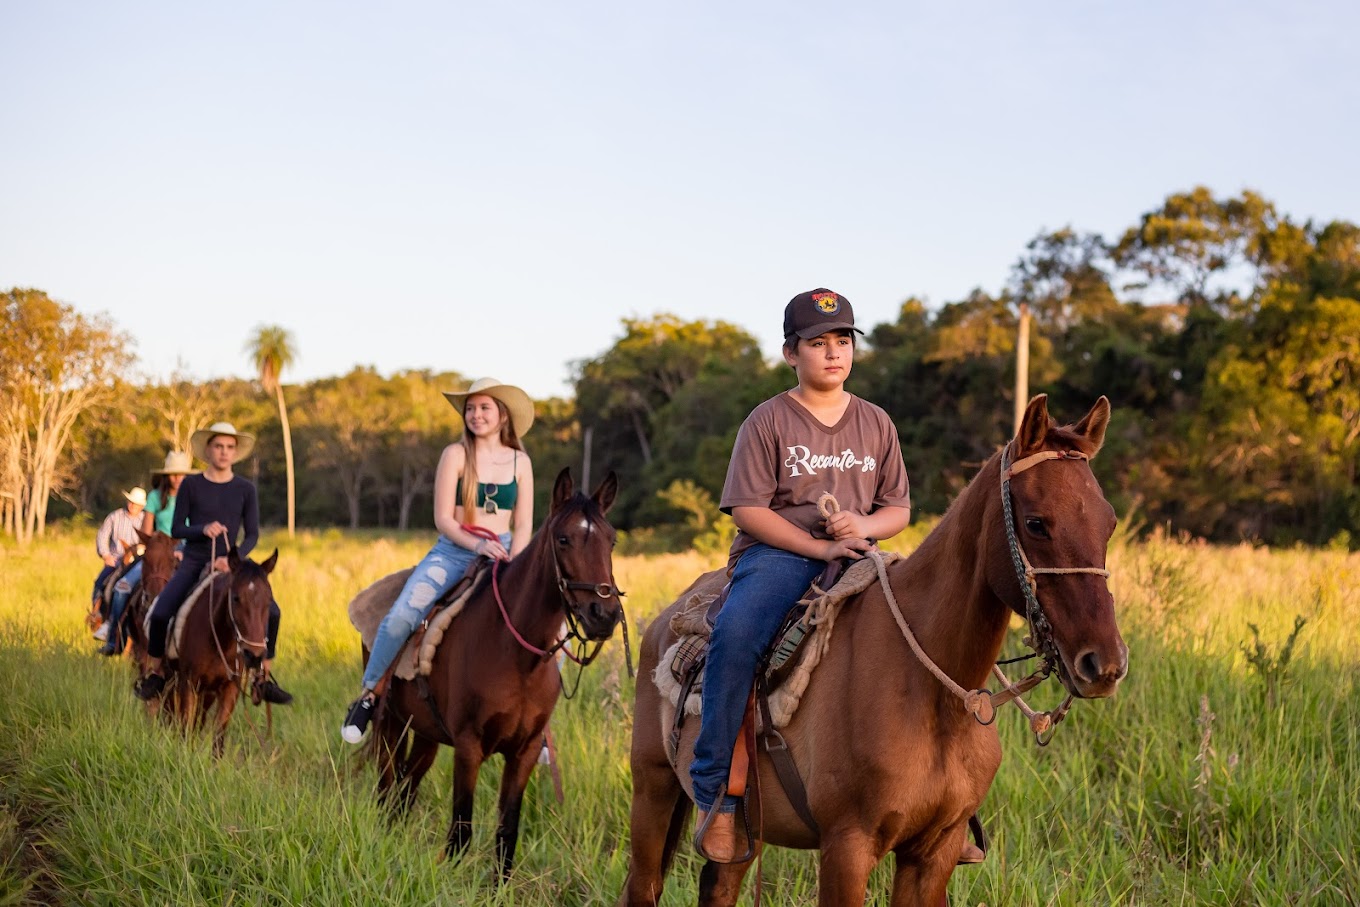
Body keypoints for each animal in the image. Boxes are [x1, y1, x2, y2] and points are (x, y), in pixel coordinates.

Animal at [157, 549, 277, 756]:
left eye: (268, 600)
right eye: (236, 598)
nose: (253, 655)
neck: (219, 641)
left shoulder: (229, 689)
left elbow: (218, 736)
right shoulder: (188, 683)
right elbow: (184, 727)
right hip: (172, 678)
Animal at [367, 467, 631, 881]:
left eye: (612, 540)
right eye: (564, 539)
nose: (603, 615)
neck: (518, 657)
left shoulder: (524, 751)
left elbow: (507, 830)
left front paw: (498, 888)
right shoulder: (469, 745)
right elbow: (461, 829)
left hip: (427, 734)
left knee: (405, 789)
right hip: (390, 723)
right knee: (386, 784)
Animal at [622, 397, 1131, 907]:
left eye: (1109, 523)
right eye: (1035, 523)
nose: (1104, 664)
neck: (931, 696)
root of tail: (671, 615)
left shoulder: (935, 852)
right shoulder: (848, 847)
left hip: (748, 828)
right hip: (653, 789)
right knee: (643, 884)